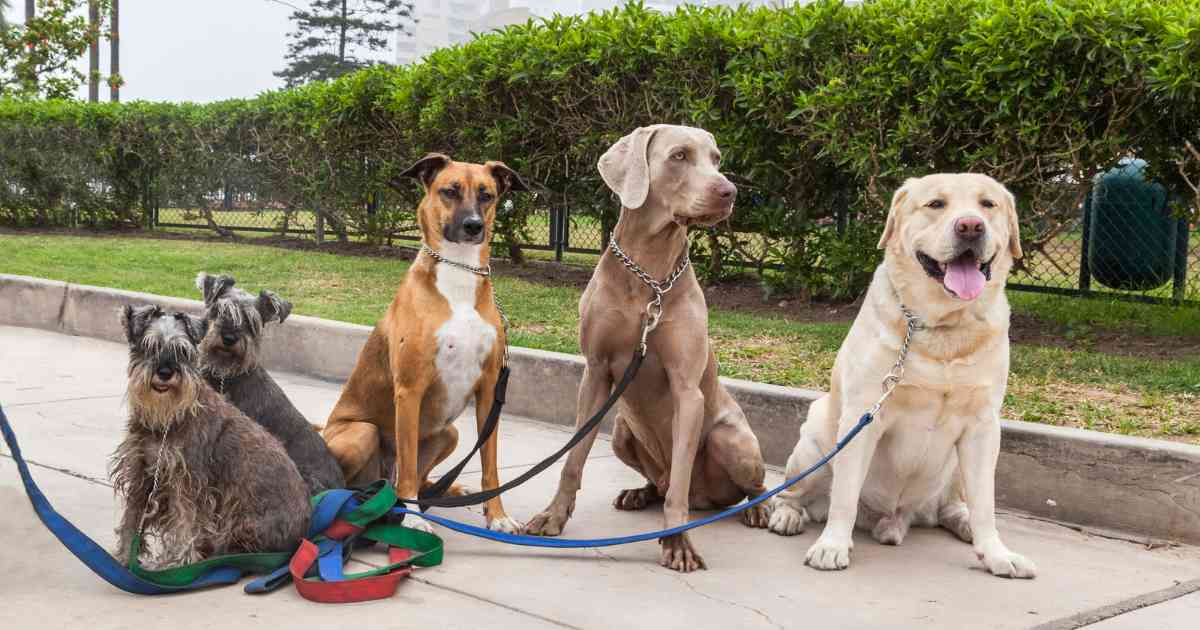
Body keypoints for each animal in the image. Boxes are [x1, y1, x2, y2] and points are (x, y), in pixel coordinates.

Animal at [110, 304, 309, 564]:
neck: (168, 419)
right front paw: (124, 557)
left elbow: (185, 527)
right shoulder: (141, 473)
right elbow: (132, 520)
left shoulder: (187, 484)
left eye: (183, 351)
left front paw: (180, 563)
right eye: (149, 346)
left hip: (240, 522)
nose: (165, 372)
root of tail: (303, 533)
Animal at [321, 152, 528, 530]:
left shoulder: (490, 391)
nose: (474, 226)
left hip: (449, 434)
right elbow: (407, 469)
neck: (459, 274)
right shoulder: (410, 389)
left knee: (419, 476)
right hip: (362, 433)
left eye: (487, 195)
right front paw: (412, 519)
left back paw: (445, 490)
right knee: (373, 478)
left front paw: (497, 516)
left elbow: (489, 466)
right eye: (450, 191)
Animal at [523, 125, 768, 571]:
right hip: (622, 429)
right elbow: (573, 459)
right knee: (661, 482)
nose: (729, 191)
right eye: (679, 156)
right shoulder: (595, 373)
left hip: (731, 439)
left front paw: (678, 543)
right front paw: (553, 516)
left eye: (716, 158)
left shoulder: (688, 390)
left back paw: (758, 508)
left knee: (740, 485)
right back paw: (639, 493)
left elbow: (679, 488)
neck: (650, 275)